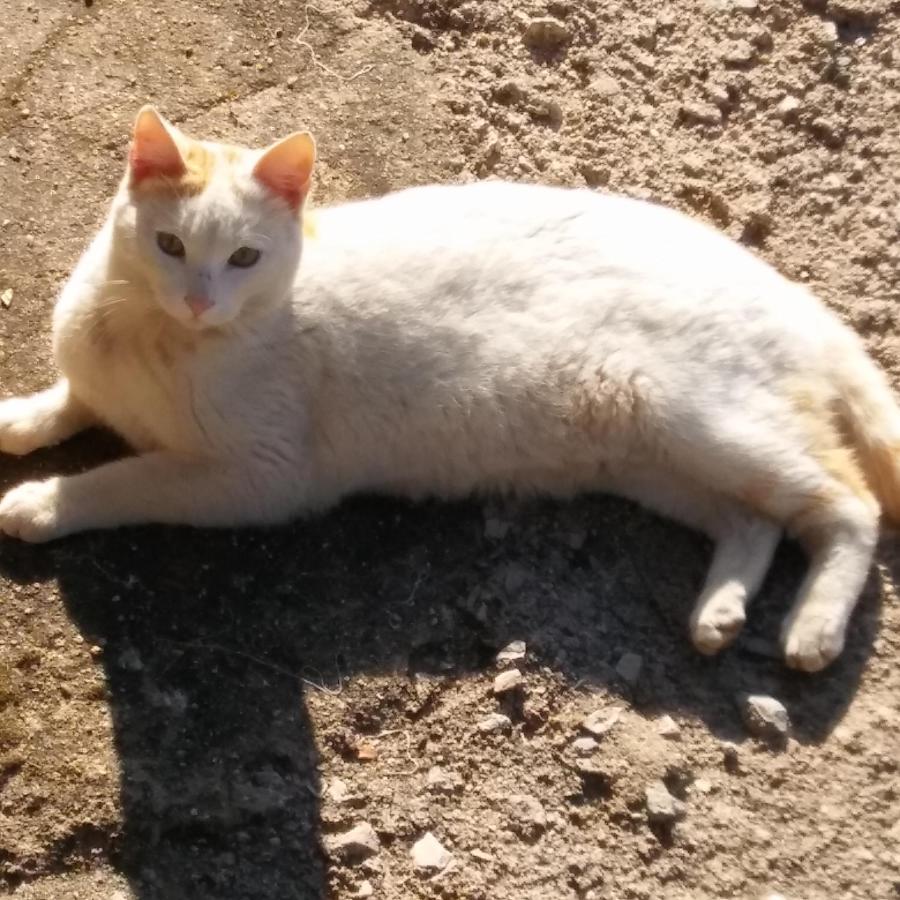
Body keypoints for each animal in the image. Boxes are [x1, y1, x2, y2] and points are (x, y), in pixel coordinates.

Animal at [1, 105, 900, 672]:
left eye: (245, 258)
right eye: (169, 244)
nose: (198, 299)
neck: (153, 338)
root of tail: (789, 290)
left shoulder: (260, 476)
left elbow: (129, 476)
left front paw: (44, 503)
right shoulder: (102, 381)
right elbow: (72, 399)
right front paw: (21, 420)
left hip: (703, 419)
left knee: (847, 505)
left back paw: (811, 631)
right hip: (657, 459)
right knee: (756, 520)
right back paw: (718, 613)